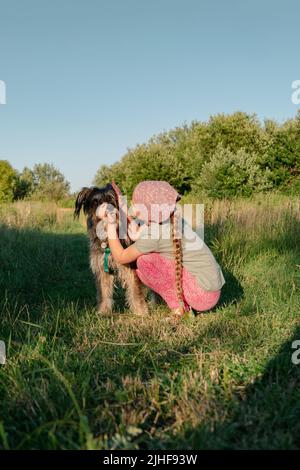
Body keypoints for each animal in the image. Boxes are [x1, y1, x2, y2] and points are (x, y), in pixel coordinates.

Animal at [74, 185, 149, 316]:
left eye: (111, 199)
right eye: (96, 201)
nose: (108, 209)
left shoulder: (130, 267)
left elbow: (135, 290)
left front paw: (140, 311)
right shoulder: (102, 269)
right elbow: (104, 292)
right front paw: (103, 311)